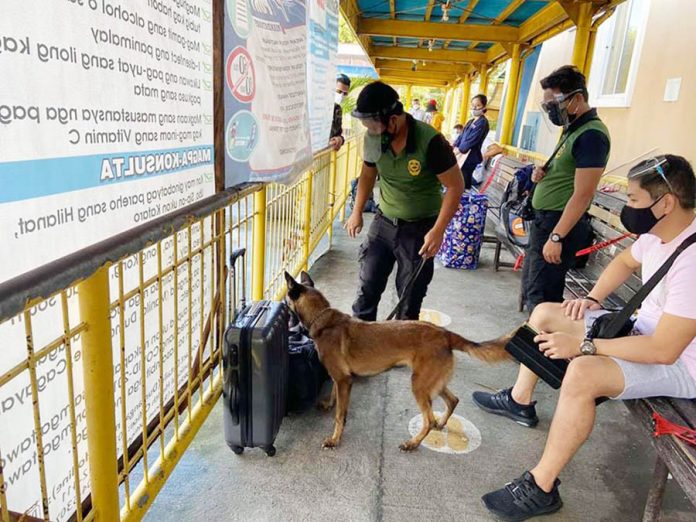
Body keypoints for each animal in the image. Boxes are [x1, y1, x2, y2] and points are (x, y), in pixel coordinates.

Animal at [282, 270, 512, 448]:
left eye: (285, 301)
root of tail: (445, 334)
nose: (281, 309)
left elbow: (340, 415)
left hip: (419, 385)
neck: (322, 319)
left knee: (428, 420)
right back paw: (440, 423)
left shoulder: (343, 380)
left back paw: (413, 443)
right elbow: (334, 397)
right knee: (453, 400)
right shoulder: (340, 379)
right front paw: (329, 405)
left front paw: (334, 440)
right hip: (432, 382)